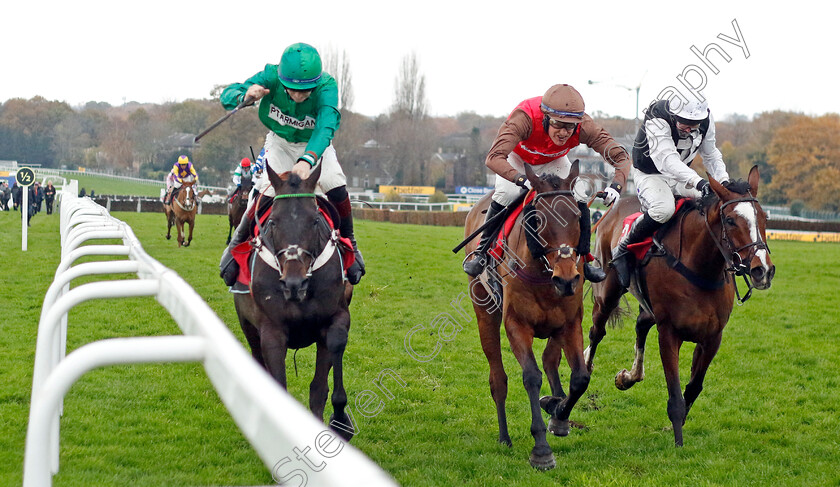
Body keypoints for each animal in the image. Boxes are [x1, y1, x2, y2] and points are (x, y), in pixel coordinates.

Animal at [231, 162, 356, 440]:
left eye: (315, 220)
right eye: (273, 222)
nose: (293, 282)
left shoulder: (335, 318)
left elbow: (321, 385)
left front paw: (340, 420)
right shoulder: (271, 331)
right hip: (248, 327)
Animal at [466, 162, 592, 470]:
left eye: (577, 216)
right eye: (538, 219)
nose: (567, 279)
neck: (544, 276)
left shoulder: (570, 323)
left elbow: (580, 377)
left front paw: (557, 411)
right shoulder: (516, 325)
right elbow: (532, 377)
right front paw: (541, 450)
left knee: (551, 359)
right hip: (484, 310)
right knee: (497, 378)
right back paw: (504, 437)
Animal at [584, 166, 776, 448]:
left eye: (763, 217)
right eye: (730, 220)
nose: (763, 270)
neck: (701, 269)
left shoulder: (712, 336)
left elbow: (694, 386)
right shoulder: (669, 332)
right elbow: (675, 393)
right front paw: (678, 443)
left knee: (641, 324)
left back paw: (630, 376)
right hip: (608, 290)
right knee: (597, 331)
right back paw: (584, 367)